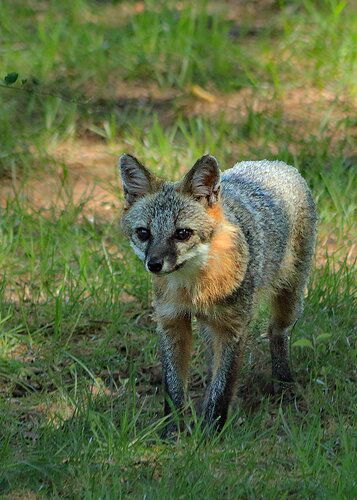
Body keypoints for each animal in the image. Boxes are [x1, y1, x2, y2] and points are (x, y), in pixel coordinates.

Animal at [118, 155, 316, 434]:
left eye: (182, 233)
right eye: (143, 233)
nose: (154, 264)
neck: (193, 288)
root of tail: (274, 162)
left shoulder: (232, 328)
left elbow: (222, 388)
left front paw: (210, 433)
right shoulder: (171, 321)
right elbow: (174, 388)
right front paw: (172, 432)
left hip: (289, 300)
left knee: (277, 333)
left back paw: (284, 383)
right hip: (208, 327)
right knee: (213, 361)